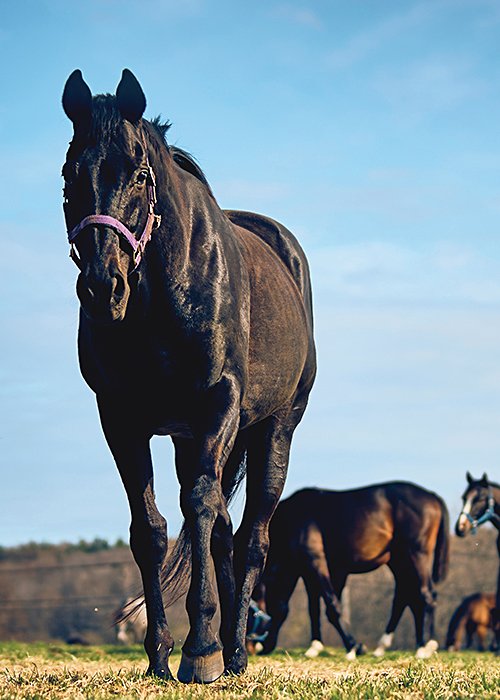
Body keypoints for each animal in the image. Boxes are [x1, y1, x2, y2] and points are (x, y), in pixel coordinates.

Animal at [61, 69, 316, 682]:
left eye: (139, 173)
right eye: (69, 172)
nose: (102, 288)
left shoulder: (215, 406)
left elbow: (197, 509)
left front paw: (197, 653)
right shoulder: (121, 420)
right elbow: (150, 529)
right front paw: (159, 652)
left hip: (275, 429)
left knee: (250, 537)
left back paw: (236, 652)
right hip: (189, 438)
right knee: (222, 530)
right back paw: (226, 646)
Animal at [256, 481, 449, 659]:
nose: (262, 646)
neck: (292, 517)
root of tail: (432, 496)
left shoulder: (315, 563)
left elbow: (331, 606)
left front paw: (353, 646)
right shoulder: (314, 571)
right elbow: (314, 609)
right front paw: (315, 646)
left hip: (416, 554)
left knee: (424, 595)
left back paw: (422, 647)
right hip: (399, 560)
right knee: (405, 597)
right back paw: (392, 645)